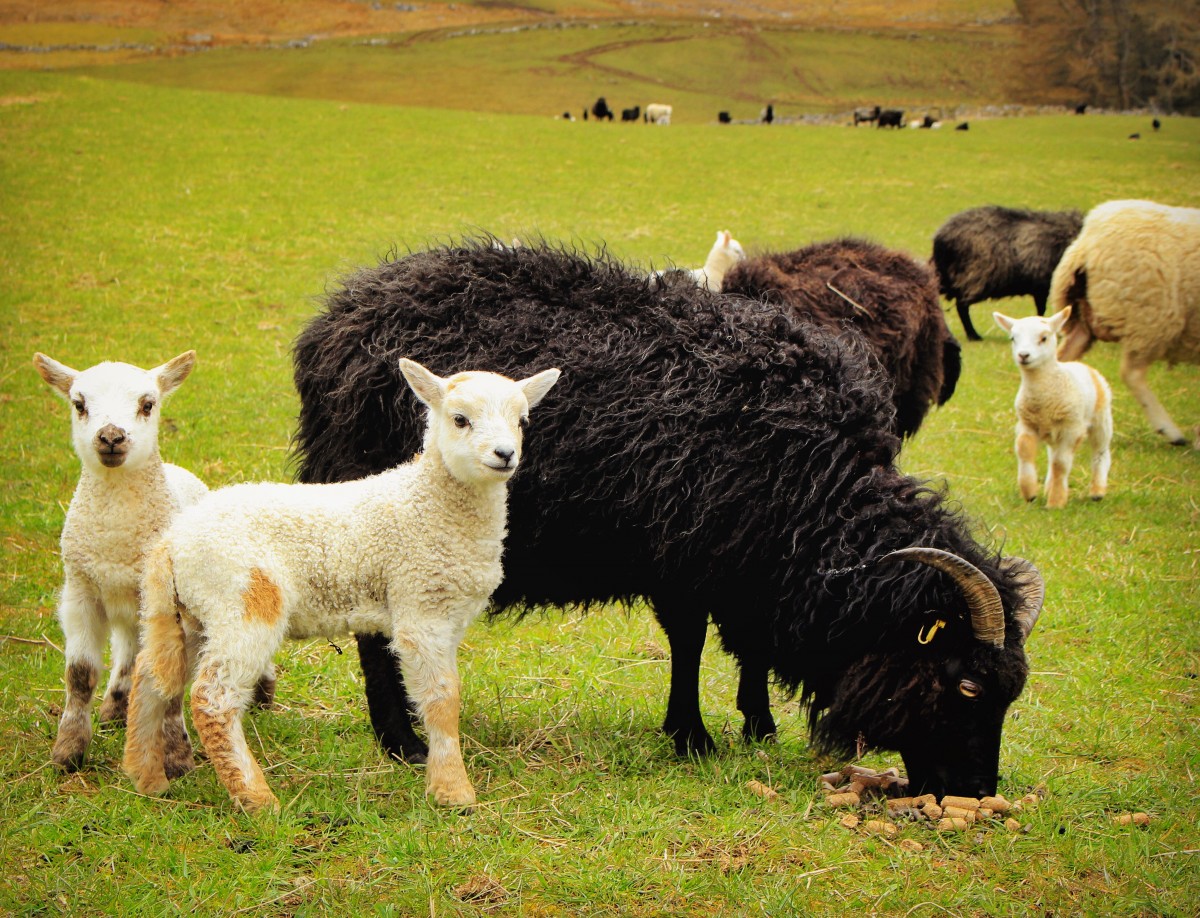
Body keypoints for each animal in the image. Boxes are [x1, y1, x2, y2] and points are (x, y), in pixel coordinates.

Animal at [33, 351, 208, 772]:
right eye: (79, 404)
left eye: (148, 404)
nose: (111, 437)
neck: (117, 538)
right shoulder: (80, 591)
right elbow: (80, 675)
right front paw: (68, 750)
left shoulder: (170, 603)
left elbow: (171, 674)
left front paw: (176, 758)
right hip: (127, 604)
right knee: (129, 653)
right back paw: (117, 707)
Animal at [122, 359, 560, 813]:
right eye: (460, 420)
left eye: (523, 421)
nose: (505, 454)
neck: (430, 502)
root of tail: (172, 542)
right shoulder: (419, 606)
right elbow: (442, 699)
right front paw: (453, 791)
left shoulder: (447, 615)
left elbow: (445, 691)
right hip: (241, 601)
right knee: (213, 698)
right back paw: (257, 798)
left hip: (190, 612)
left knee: (152, 674)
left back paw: (147, 777)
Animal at [931, 205, 1084, 341]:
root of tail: (941, 236)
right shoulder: (1042, 284)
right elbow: (1042, 309)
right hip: (972, 277)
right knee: (962, 306)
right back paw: (973, 336)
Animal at [993, 309, 1113, 508]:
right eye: (1013, 338)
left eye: (1044, 338)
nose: (1023, 355)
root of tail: (1082, 365)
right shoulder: (1026, 423)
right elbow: (1024, 450)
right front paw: (1029, 491)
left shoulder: (1071, 428)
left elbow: (1061, 464)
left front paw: (1056, 501)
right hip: (1053, 431)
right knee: (1052, 455)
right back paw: (1049, 486)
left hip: (1101, 419)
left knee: (1100, 451)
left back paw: (1097, 491)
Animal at [1050, 199, 1200, 447]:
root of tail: (1088, 240)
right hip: (1149, 318)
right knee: (1132, 374)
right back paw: (1171, 431)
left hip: (1083, 318)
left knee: (1060, 361)